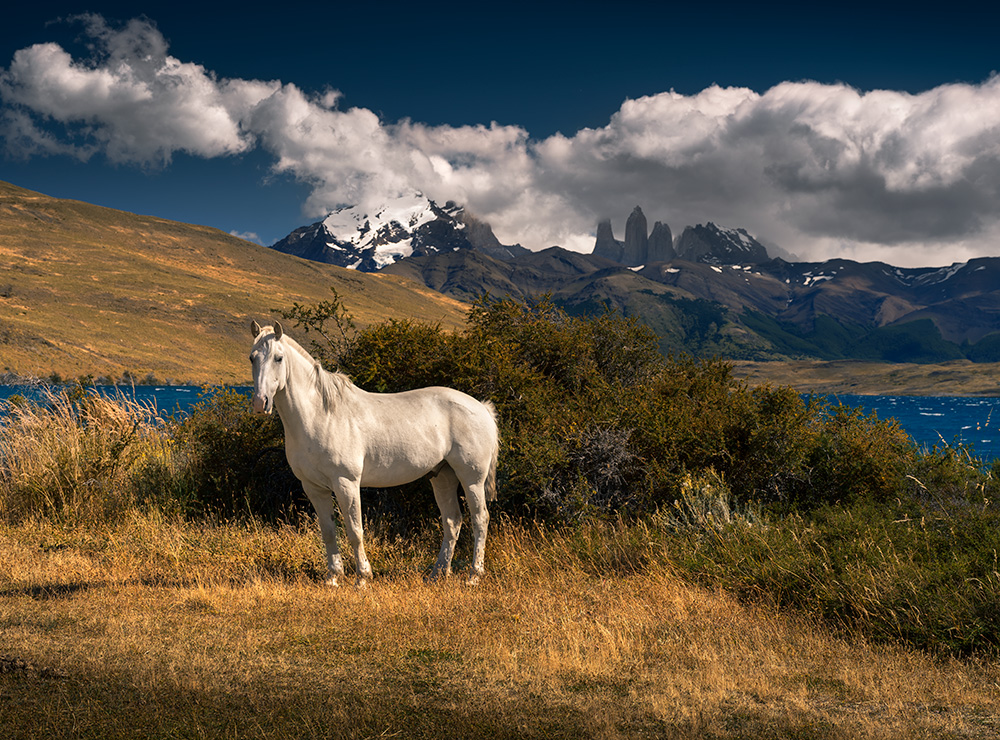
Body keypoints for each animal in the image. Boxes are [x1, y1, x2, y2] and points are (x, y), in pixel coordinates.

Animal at [250, 320, 500, 588]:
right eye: (252, 357)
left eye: (278, 358)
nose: (260, 403)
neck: (322, 415)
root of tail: (482, 407)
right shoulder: (314, 487)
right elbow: (328, 532)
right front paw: (332, 578)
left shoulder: (346, 483)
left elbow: (354, 531)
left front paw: (362, 578)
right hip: (442, 476)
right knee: (452, 521)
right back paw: (438, 573)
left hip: (472, 479)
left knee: (480, 520)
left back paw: (474, 576)